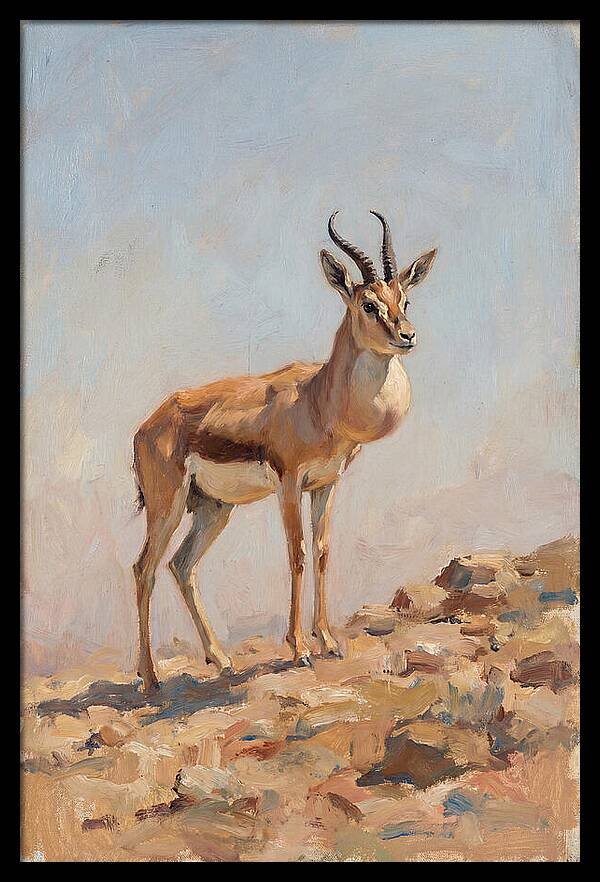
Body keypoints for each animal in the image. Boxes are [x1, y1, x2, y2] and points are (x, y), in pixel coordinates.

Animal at [132, 211, 437, 691]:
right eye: (368, 304)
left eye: (404, 298)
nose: (407, 336)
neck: (318, 400)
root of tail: (148, 425)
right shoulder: (289, 484)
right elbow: (296, 554)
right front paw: (299, 649)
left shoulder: (326, 484)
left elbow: (324, 552)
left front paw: (328, 641)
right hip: (168, 504)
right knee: (143, 569)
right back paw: (151, 679)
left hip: (213, 508)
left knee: (181, 566)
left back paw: (221, 660)